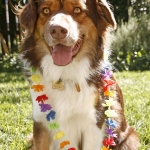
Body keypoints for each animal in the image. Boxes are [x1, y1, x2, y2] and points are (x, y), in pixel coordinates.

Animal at [17, 0, 139, 149]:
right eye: (45, 10)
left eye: (77, 10)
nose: (58, 30)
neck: (63, 77)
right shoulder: (41, 123)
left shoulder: (93, 123)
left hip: (129, 139)